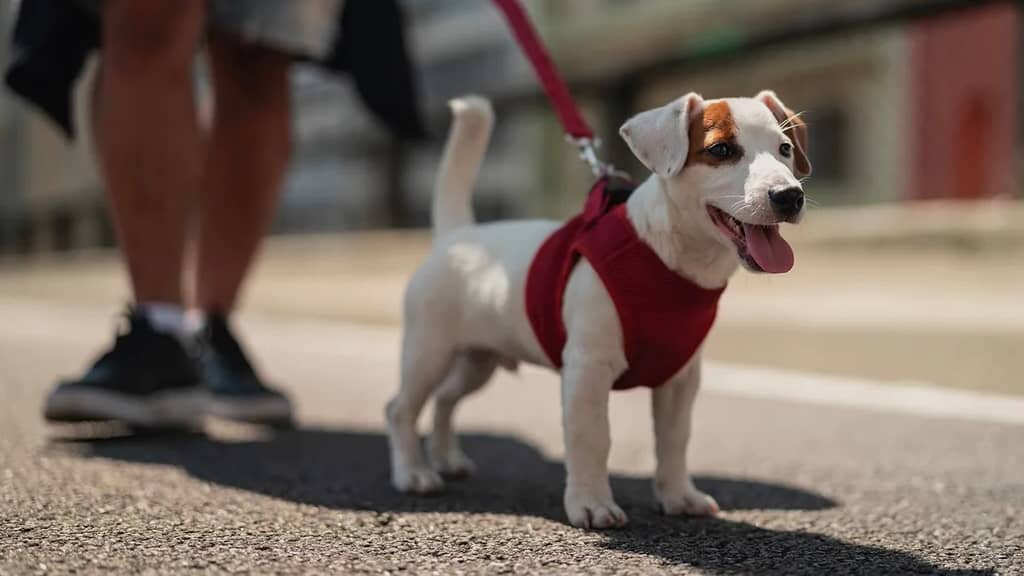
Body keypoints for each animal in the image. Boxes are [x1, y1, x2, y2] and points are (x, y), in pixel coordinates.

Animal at [387, 88, 811, 524]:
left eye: (785, 149)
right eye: (722, 149)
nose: (789, 196)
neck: (666, 258)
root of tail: (457, 235)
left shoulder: (681, 379)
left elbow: (674, 440)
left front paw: (678, 495)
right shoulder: (587, 370)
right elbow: (592, 439)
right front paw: (591, 502)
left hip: (478, 361)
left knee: (444, 399)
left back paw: (446, 458)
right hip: (428, 353)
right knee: (401, 409)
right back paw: (414, 472)